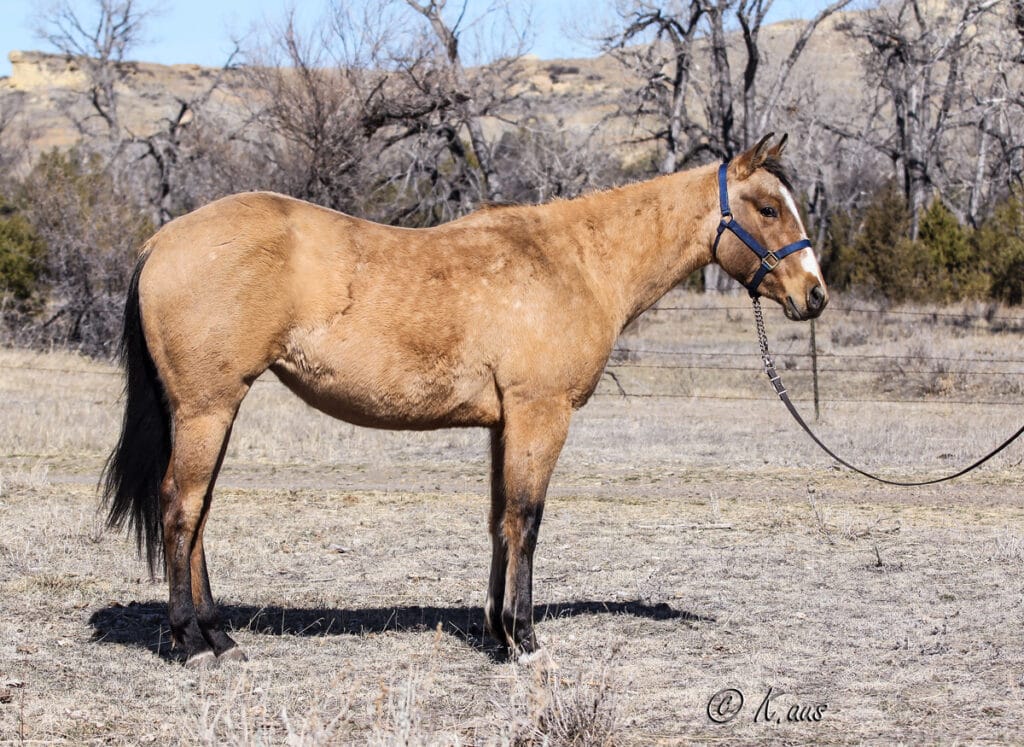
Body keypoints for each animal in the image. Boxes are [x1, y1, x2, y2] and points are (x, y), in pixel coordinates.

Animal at [102, 132, 828, 668]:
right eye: (768, 209)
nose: (814, 295)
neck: (578, 261)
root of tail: (160, 241)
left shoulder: (503, 425)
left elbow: (499, 521)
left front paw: (496, 630)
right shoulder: (540, 414)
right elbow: (528, 521)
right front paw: (525, 641)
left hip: (211, 412)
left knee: (197, 515)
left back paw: (220, 635)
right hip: (207, 408)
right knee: (181, 509)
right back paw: (192, 644)